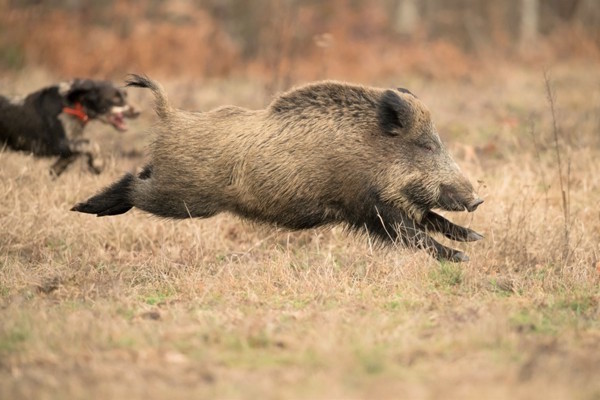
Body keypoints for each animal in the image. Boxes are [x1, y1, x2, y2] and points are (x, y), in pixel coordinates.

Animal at [0, 79, 138, 176]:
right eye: (115, 98)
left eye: (125, 95)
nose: (138, 111)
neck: (72, 103)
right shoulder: (59, 143)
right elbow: (91, 144)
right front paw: (97, 164)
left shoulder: (72, 142)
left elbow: (70, 157)